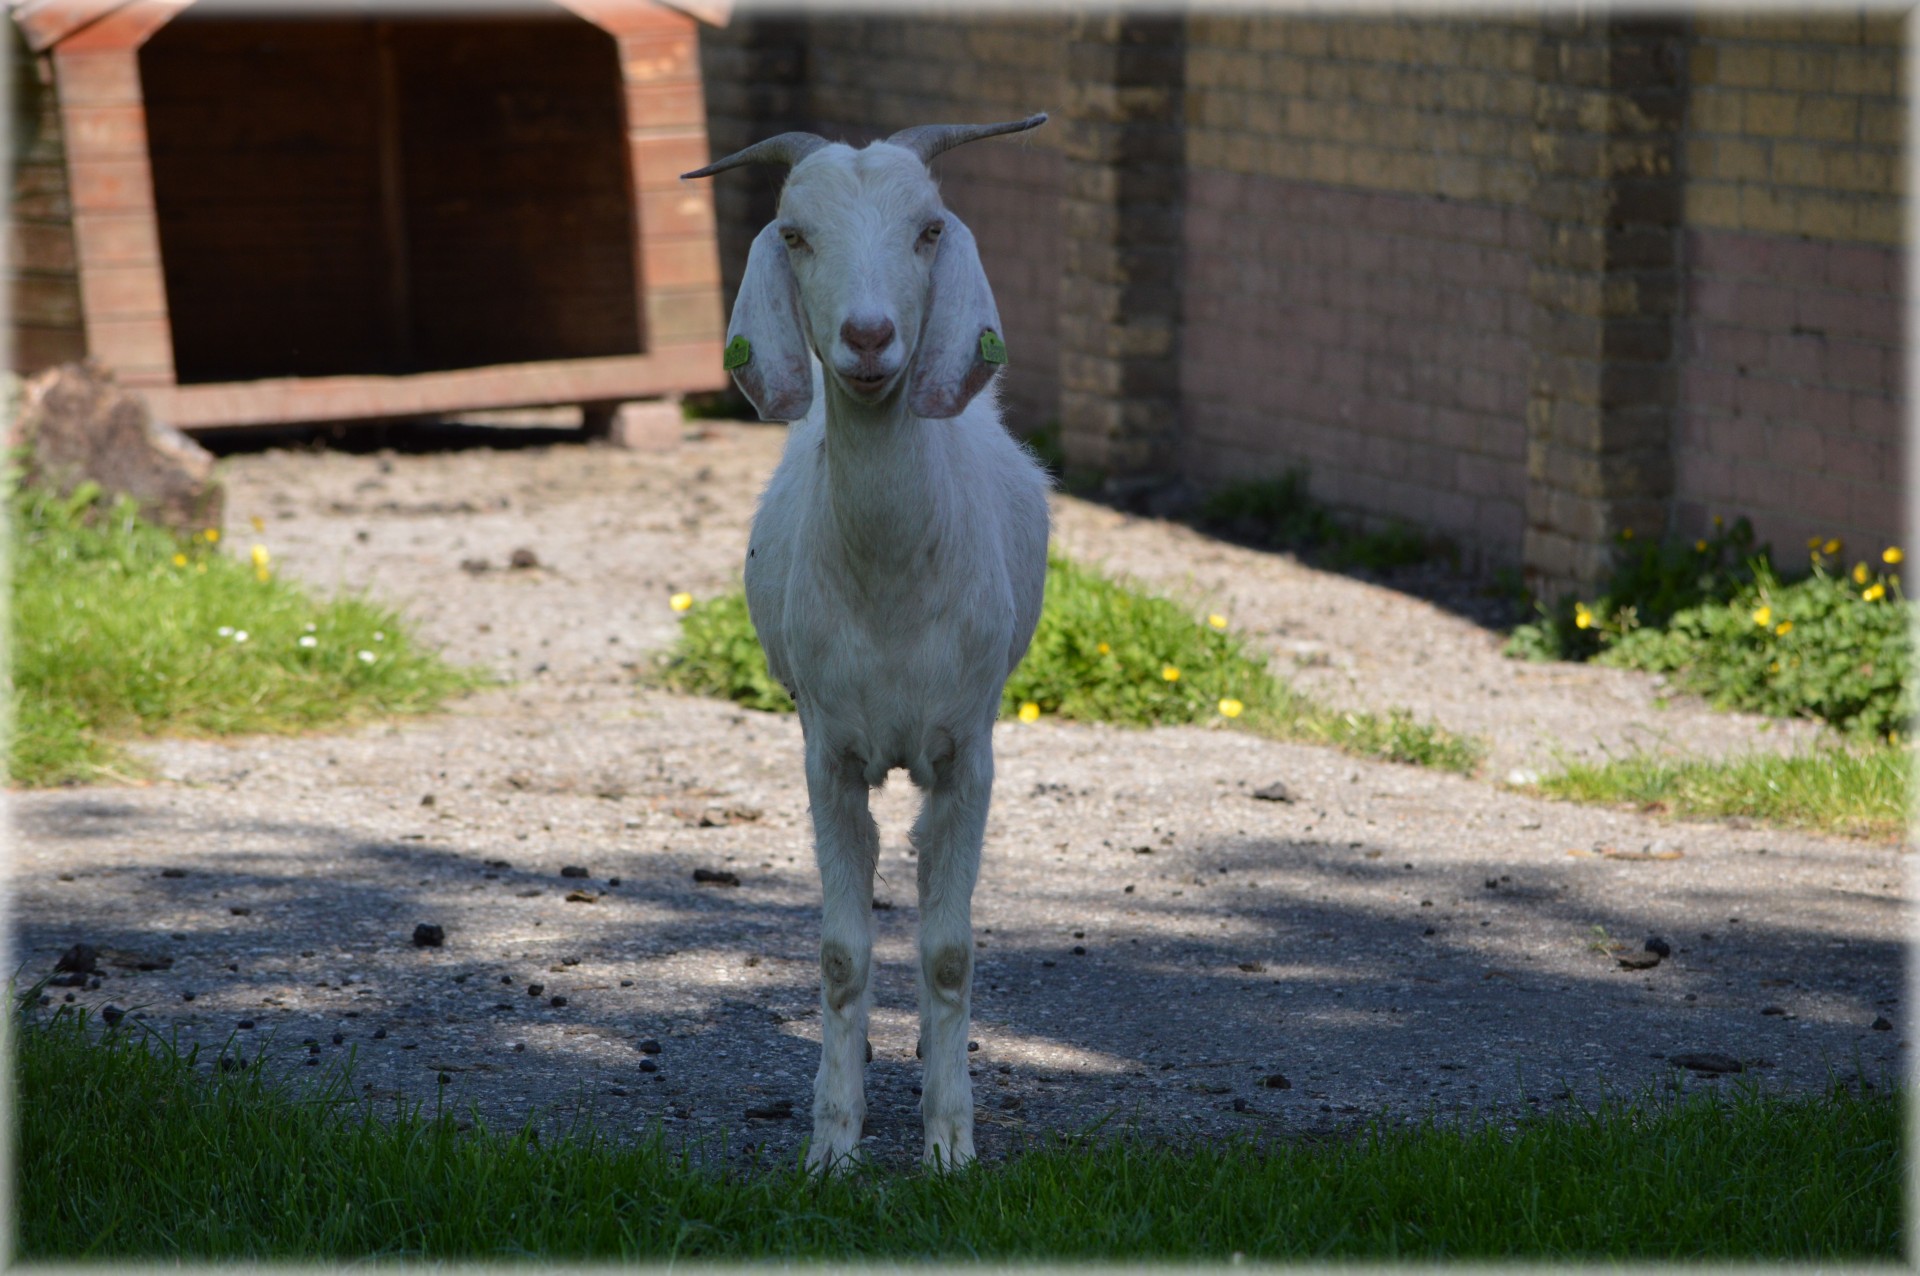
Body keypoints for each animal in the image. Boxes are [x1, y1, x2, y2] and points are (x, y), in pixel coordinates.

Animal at [687, 119, 1052, 1166]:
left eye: (928, 230)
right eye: (795, 234)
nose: (868, 338)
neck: (891, 584)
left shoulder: (968, 750)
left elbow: (949, 951)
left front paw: (950, 1145)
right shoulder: (828, 752)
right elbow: (844, 955)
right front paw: (832, 1148)